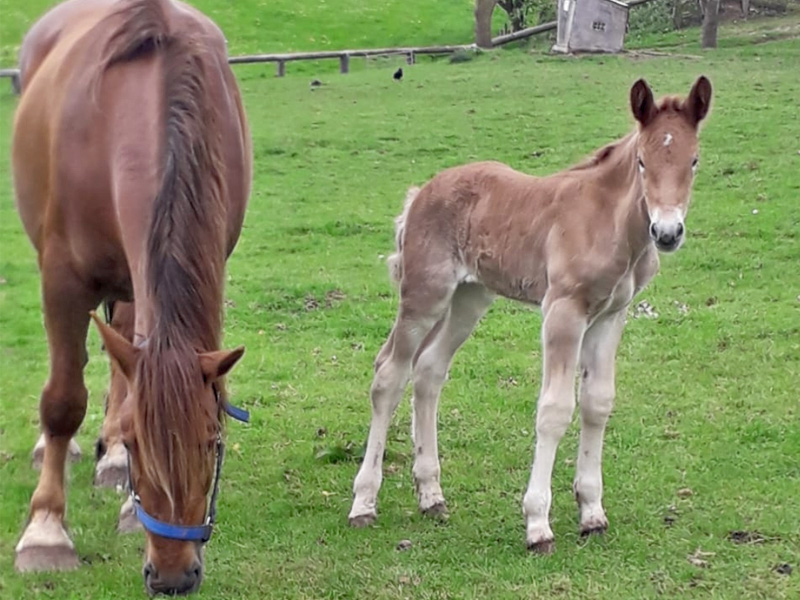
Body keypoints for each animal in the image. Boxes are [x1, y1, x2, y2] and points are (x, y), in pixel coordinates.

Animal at [15, 0, 253, 592]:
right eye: (144, 444)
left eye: (211, 443)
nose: (173, 577)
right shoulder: (63, 281)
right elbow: (63, 401)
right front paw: (45, 532)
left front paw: (121, 478)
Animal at [350, 77, 712, 552]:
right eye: (641, 162)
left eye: (693, 160)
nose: (667, 232)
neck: (609, 222)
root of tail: (420, 194)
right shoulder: (563, 310)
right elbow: (554, 409)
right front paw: (538, 523)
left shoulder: (611, 315)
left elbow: (597, 402)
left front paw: (592, 512)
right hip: (425, 295)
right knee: (388, 375)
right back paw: (363, 503)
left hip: (470, 297)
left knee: (428, 370)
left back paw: (432, 496)